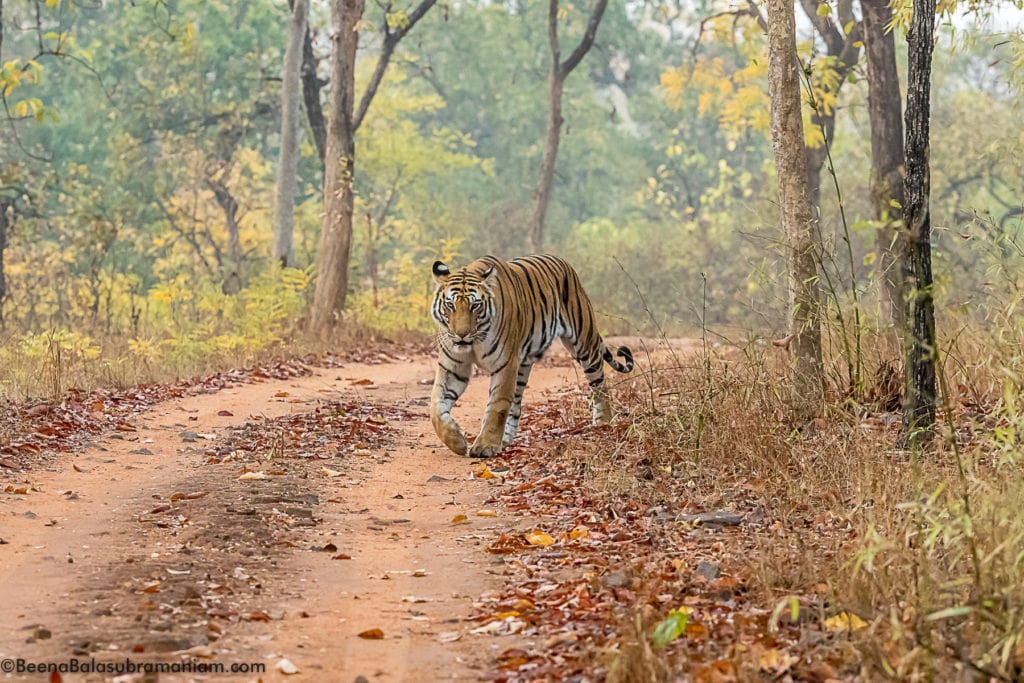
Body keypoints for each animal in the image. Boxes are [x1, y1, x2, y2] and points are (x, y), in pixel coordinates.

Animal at [425, 252, 630, 458]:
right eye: (450, 305)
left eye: (475, 306)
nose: (461, 334)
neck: (473, 343)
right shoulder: (453, 367)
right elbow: (435, 405)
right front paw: (456, 441)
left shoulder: (505, 364)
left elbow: (497, 405)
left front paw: (485, 445)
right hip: (523, 366)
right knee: (515, 404)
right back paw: (505, 440)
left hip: (584, 344)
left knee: (599, 385)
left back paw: (603, 422)